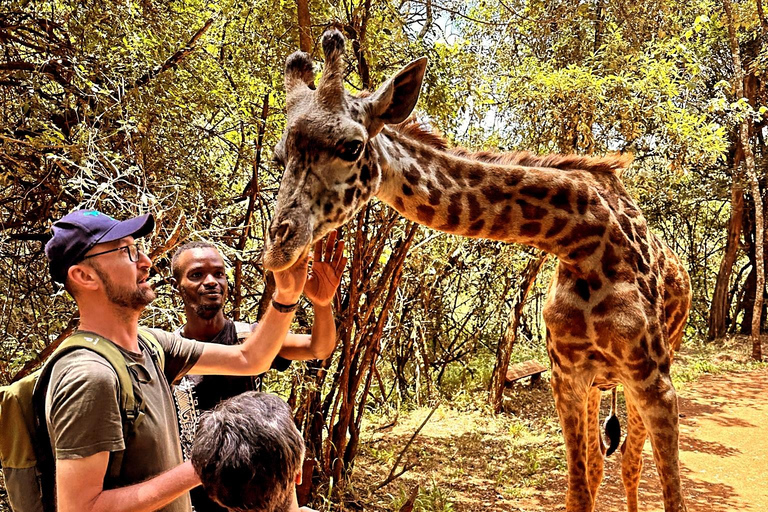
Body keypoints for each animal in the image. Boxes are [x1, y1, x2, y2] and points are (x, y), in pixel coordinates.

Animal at [264, 30, 688, 510]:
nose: (277, 248)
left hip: (642, 377)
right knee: (604, 464)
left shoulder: (654, 382)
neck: (579, 240)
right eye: (279, 157)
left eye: (351, 147)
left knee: (632, 462)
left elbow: (672, 495)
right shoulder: (567, 377)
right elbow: (580, 489)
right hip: (601, 384)